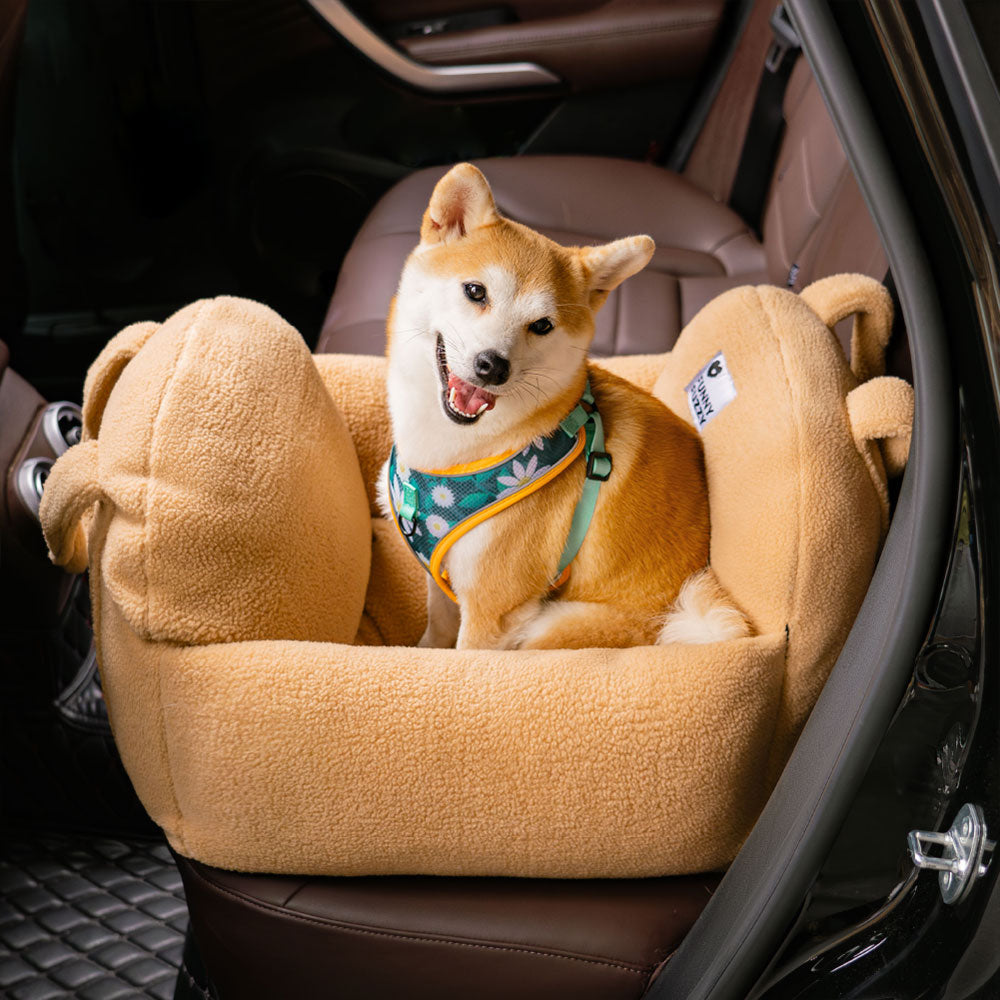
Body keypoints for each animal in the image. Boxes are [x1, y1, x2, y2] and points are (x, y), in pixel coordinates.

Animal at [378, 161, 748, 652]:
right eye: (475, 291)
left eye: (542, 325)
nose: (493, 366)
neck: (449, 455)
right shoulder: (445, 581)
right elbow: (435, 635)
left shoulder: (492, 609)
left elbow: (463, 662)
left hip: (551, 629)